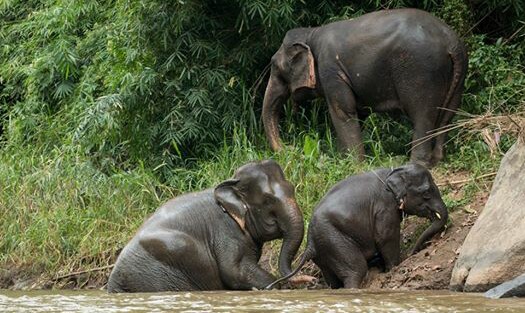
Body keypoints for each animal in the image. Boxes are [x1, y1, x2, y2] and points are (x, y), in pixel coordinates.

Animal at [107, 160, 304, 292]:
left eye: (293, 188)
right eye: (268, 200)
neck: (230, 183)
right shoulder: (225, 230)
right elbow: (234, 272)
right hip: (156, 274)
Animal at [262, 8, 466, 167]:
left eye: (274, 66)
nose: (289, 150)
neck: (311, 33)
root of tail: (451, 42)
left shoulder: (331, 70)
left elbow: (343, 112)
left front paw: (354, 165)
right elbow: (358, 114)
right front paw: (343, 159)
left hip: (420, 72)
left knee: (423, 116)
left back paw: (416, 164)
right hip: (458, 76)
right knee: (447, 115)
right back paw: (438, 159)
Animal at [266, 163, 446, 288]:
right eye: (426, 193)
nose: (414, 252)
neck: (394, 170)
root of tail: (310, 242)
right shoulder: (384, 208)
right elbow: (385, 237)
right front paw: (393, 267)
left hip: (325, 251)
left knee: (333, 281)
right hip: (334, 240)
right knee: (357, 270)